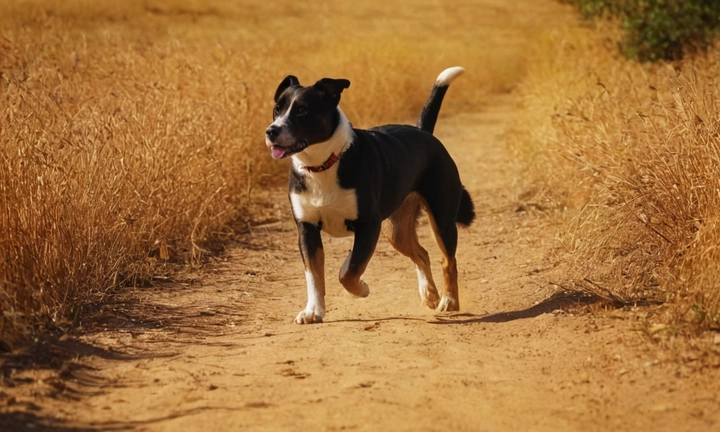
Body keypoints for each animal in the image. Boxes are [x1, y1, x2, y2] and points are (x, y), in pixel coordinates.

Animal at [264, 66, 472, 324]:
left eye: (302, 110)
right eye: (277, 109)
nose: (271, 131)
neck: (324, 164)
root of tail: (424, 133)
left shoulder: (368, 226)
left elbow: (350, 270)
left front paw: (361, 288)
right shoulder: (307, 228)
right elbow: (313, 274)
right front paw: (313, 311)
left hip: (441, 218)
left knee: (448, 260)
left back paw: (449, 300)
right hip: (396, 229)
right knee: (421, 253)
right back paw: (429, 293)